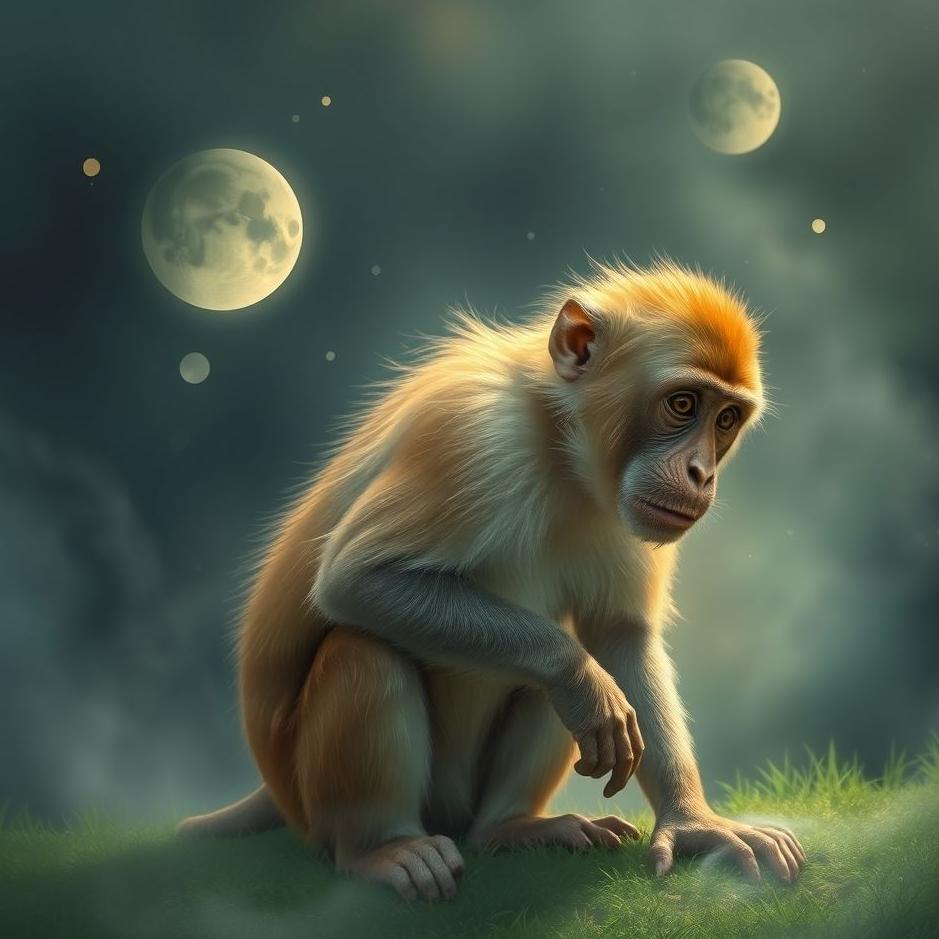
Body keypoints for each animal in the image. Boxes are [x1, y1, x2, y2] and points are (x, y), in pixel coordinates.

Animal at [178, 258, 806, 902]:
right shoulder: (471, 434)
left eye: (725, 418)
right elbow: (357, 579)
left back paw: (511, 826)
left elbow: (620, 635)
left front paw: (694, 823)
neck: (557, 442)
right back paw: (380, 848)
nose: (701, 472)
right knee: (363, 649)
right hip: (319, 807)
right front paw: (581, 679)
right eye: (683, 404)